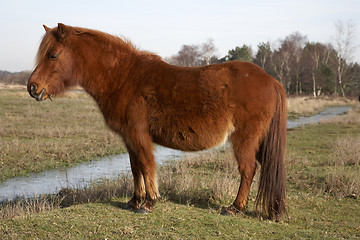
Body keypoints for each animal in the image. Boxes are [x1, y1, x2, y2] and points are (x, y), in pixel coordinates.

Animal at [27, 23, 286, 220]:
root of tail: (271, 80)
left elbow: (147, 165)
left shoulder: (139, 135)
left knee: (248, 169)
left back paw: (235, 208)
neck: (123, 77)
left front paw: (150, 202)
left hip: (245, 139)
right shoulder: (129, 138)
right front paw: (134, 200)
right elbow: (135, 168)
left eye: (53, 55)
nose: (32, 88)